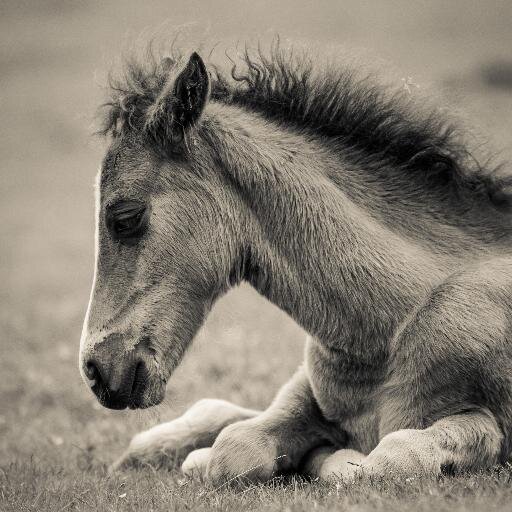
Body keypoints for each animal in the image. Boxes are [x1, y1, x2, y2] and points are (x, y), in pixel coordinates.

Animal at [79, 45, 512, 484]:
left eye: (125, 217)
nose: (95, 370)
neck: (386, 332)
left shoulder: (486, 423)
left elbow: (386, 459)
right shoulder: (305, 390)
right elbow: (235, 446)